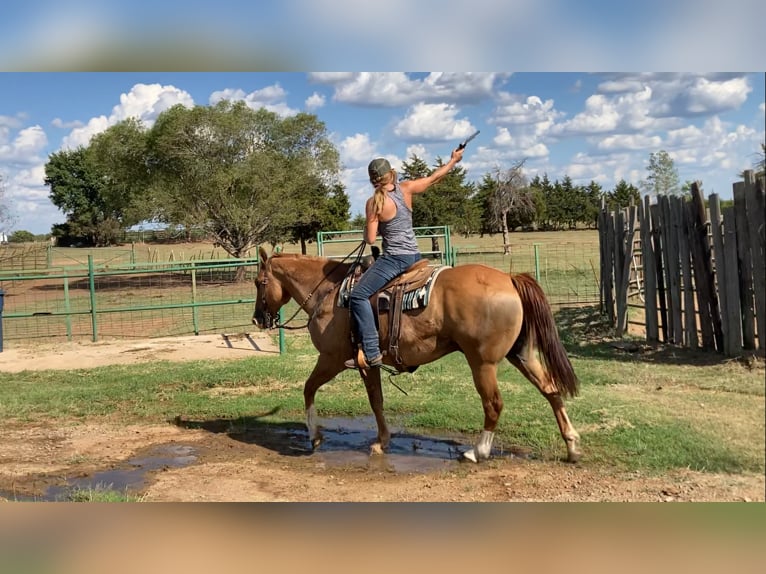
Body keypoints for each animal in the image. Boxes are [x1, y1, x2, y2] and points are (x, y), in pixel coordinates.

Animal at [252, 248, 584, 464]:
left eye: (259, 282)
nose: (257, 319)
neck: (331, 294)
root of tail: (510, 278)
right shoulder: (367, 364)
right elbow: (377, 401)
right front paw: (382, 441)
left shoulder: (332, 359)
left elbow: (308, 389)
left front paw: (314, 436)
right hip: (522, 355)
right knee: (551, 390)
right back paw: (571, 446)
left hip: (482, 363)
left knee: (494, 405)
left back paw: (477, 451)